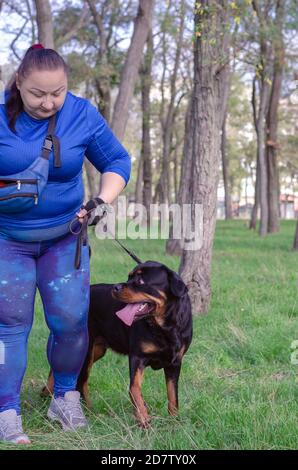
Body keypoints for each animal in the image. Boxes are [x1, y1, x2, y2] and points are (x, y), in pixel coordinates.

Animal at [40, 262, 192, 428]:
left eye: (141, 281)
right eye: (129, 277)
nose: (116, 287)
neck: (164, 326)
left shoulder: (175, 363)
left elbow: (173, 395)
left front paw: (175, 422)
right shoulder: (137, 357)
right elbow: (134, 388)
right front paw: (143, 419)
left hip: (98, 350)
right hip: (85, 349)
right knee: (80, 380)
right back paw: (87, 410)